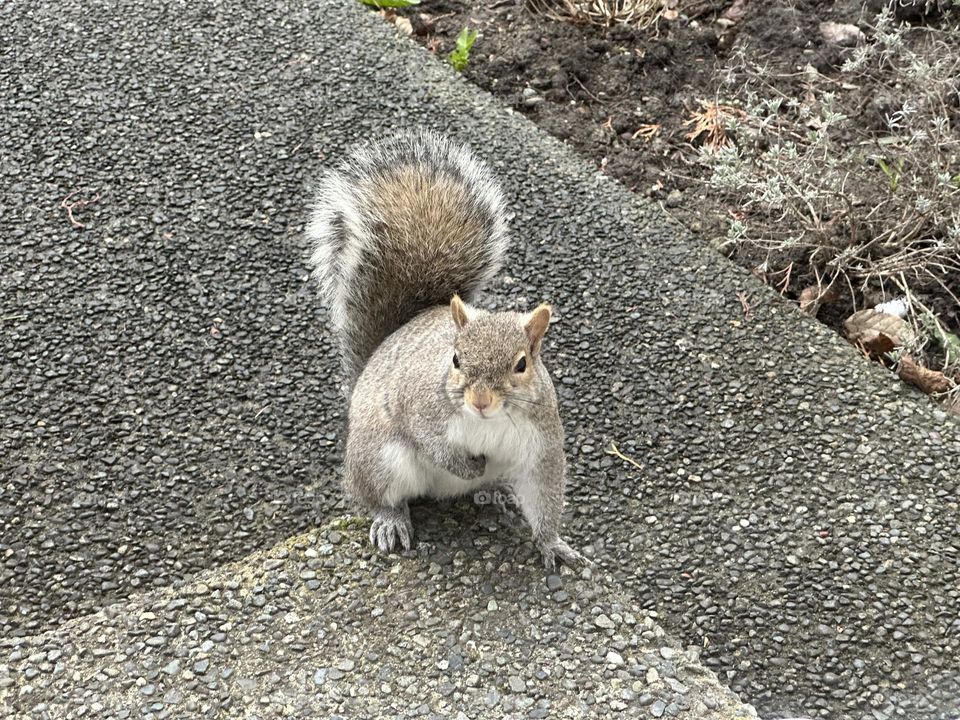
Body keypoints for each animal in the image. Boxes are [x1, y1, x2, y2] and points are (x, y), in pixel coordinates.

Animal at [308, 126, 584, 572]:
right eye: (455, 359)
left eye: (521, 364)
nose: (481, 400)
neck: (489, 423)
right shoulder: (421, 406)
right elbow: (430, 440)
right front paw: (467, 466)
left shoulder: (540, 446)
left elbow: (544, 496)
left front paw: (552, 544)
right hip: (378, 459)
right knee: (378, 495)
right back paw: (392, 519)